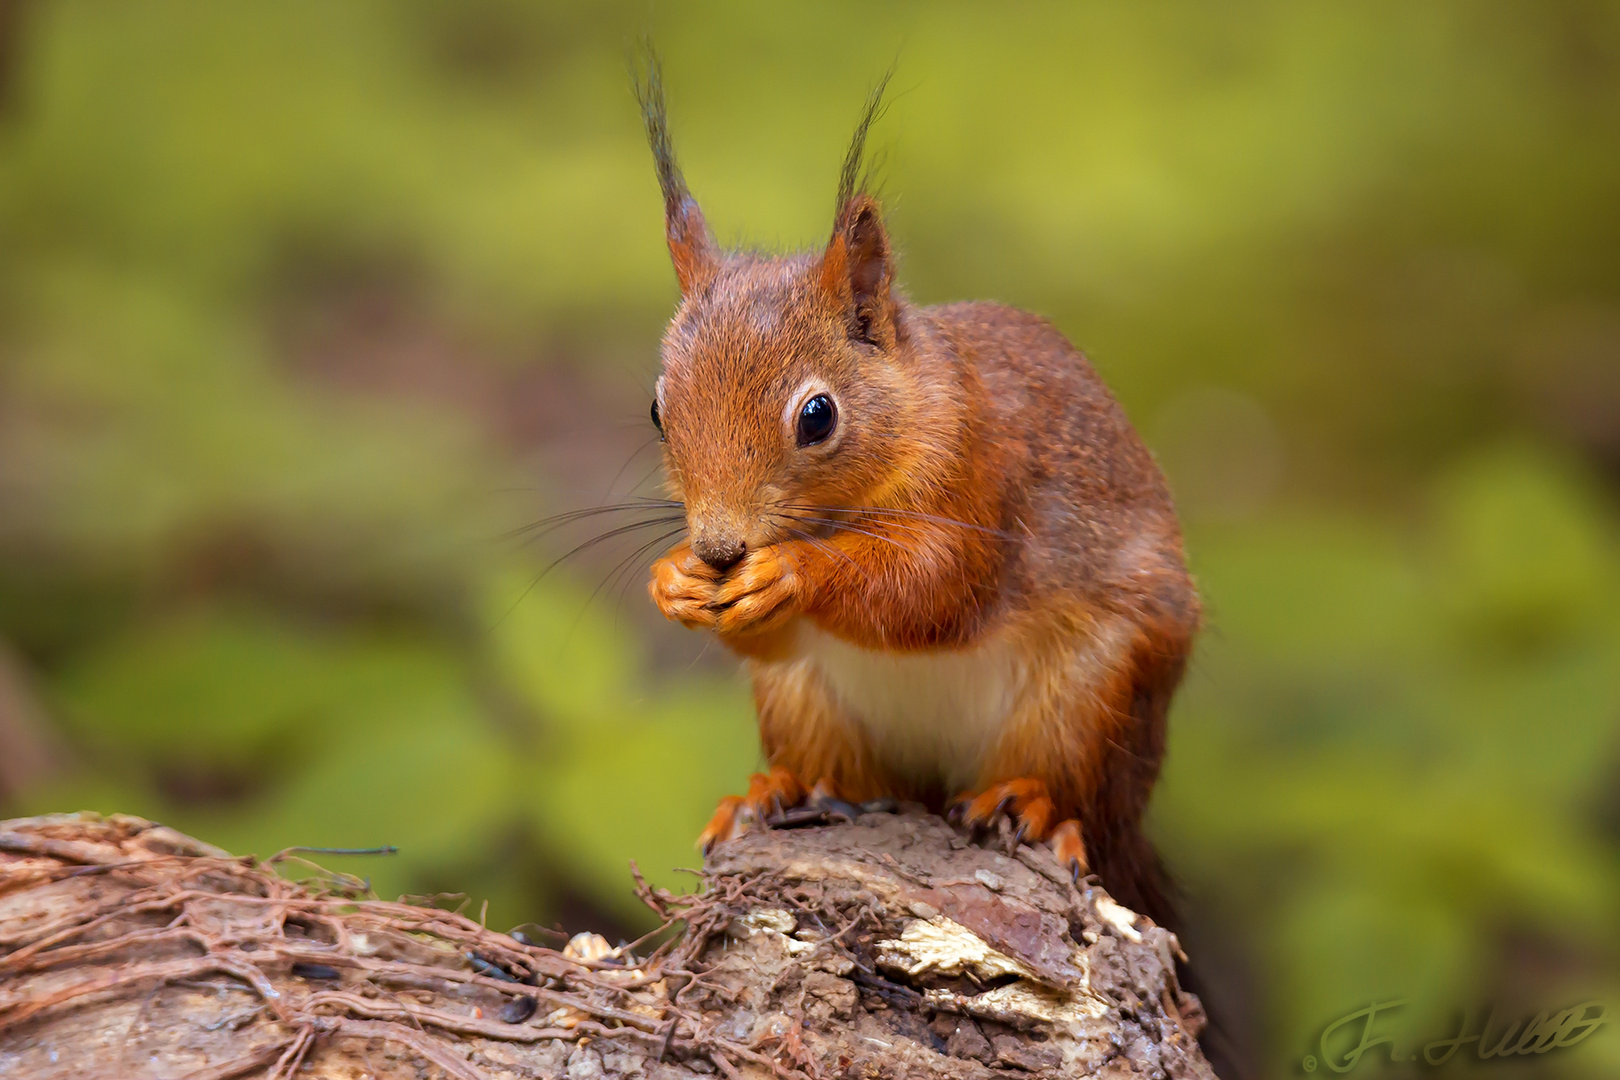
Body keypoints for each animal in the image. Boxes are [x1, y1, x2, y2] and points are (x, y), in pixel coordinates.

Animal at [636, 67, 1201, 927]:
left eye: (817, 415)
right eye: (657, 410)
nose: (720, 549)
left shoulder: (981, 473)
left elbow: (933, 588)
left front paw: (793, 571)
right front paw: (672, 580)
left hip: (1092, 699)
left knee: (1077, 797)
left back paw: (1029, 804)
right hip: (804, 707)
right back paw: (776, 790)